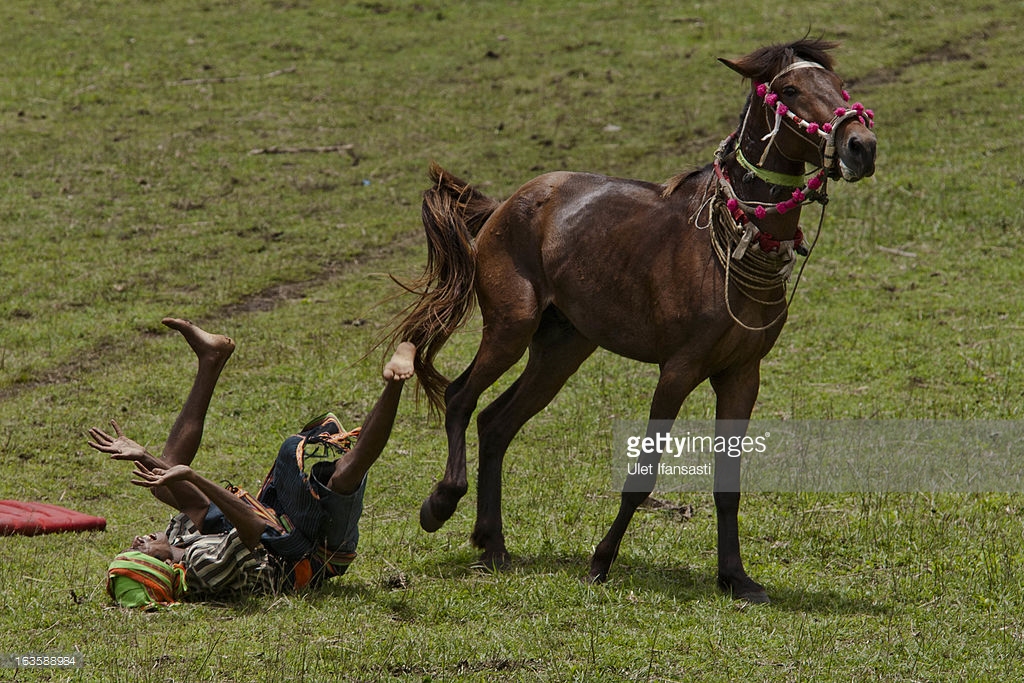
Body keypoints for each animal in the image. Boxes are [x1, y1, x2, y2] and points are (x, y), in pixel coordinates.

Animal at [395, 40, 876, 602]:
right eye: (792, 89)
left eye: (840, 85)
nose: (861, 146)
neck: (729, 245)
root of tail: (505, 204)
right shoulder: (678, 371)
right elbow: (643, 474)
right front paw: (601, 561)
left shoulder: (742, 375)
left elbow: (728, 484)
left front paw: (734, 576)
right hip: (510, 330)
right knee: (459, 397)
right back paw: (441, 503)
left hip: (560, 350)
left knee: (496, 423)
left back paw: (492, 544)